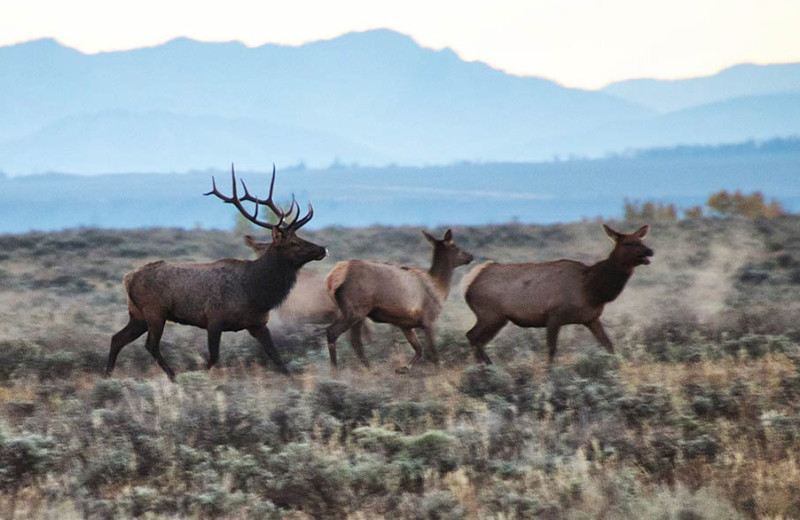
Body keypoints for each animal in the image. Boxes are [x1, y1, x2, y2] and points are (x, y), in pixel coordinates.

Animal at [105, 165, 324, 380]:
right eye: (294, 243)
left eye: (300, 237)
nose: (322, 249)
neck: (256, 292)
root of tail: (128, 279)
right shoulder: (214, 319)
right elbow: (213, 358)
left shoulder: (258, 324)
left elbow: (277, 358)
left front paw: (294, 380)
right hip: (155, 311)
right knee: (150, 345)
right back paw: (173, 376)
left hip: (138, 315)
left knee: (117, 338)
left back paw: (108, 375)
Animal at [326, 230, 476, 372]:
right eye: (455, 246)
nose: (471, 256)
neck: (440, 288)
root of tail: (332, 277)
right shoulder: (428, 319)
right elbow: (433, 353)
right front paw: (438, 371)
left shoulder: (405, 324)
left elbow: (419, 349)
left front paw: (403, 368)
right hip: (356, 309)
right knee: (333, 332)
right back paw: (335, 371)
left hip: (353, 312)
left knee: (354, 341)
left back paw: (368, 368)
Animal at [466, 224, 652, 366]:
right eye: (628, 243)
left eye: (641, 240)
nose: (650, 251)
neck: (592, 290)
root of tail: (468, 283)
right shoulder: (554, 315)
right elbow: (552, 349)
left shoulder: (591, 318)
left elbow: (609, 345)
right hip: (490, 314)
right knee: (472, 336)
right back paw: (488, 366)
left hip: (497, 318)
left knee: (476, 339)